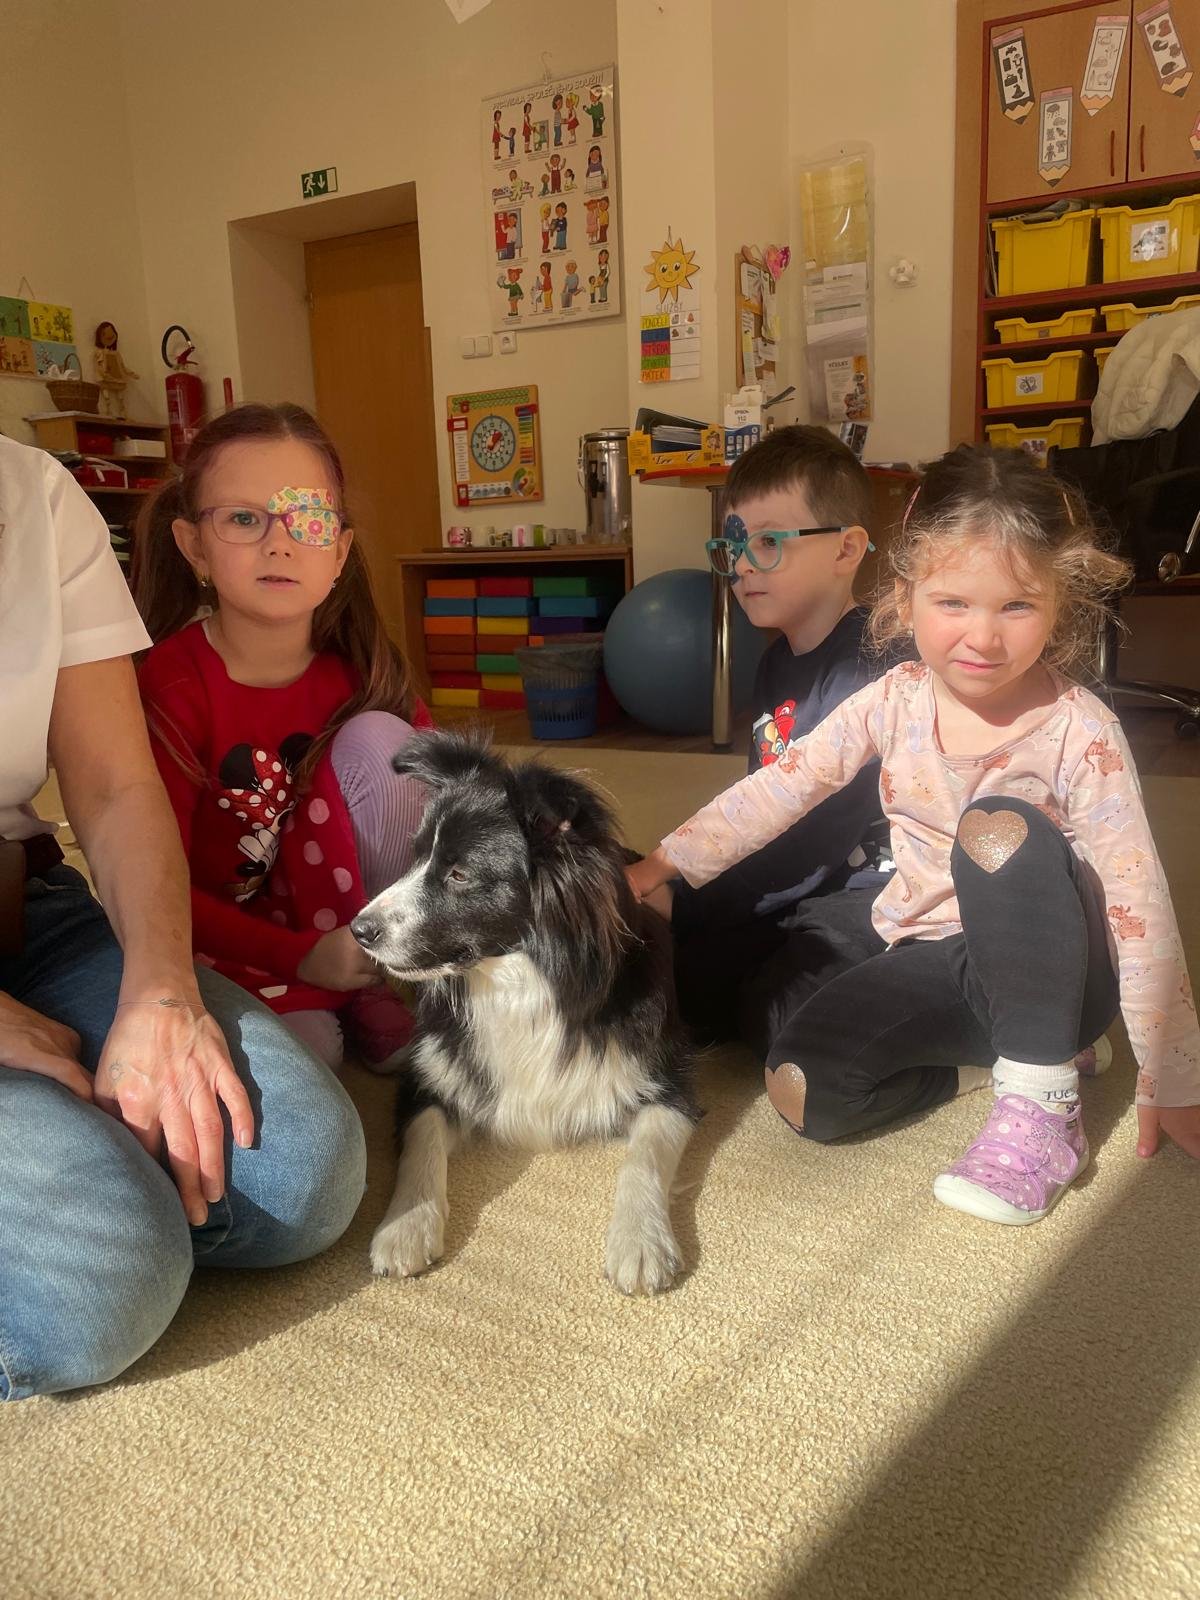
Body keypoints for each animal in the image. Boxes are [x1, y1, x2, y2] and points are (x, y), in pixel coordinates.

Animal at [350, 733, 699, 1295]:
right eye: (417, 856)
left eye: (459, 873)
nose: (357, 930)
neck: (520, 980)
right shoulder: (427, 1076)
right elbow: (421, 1139)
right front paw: (404, 1229)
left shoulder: (670, 1075)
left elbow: (646, 1152)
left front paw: (641, 1241)